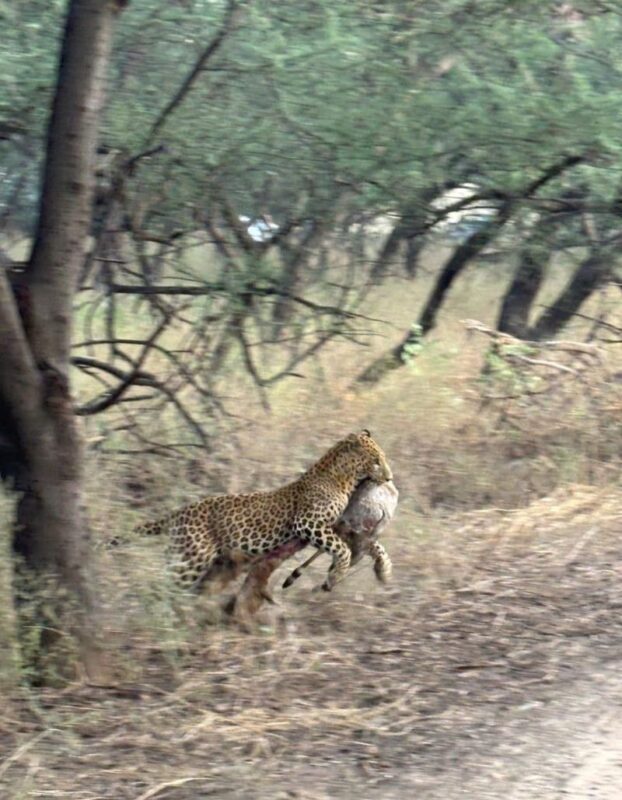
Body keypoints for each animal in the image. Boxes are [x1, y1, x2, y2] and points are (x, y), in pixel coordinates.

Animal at [135, 430, 393, 592]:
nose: (390, 478)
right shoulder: (308, 523)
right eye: (376, 461)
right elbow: (343, 550)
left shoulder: (339, 525)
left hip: (189, 557)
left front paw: (385, 572)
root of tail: (177, 514)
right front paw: (336, 575)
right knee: (165, 589)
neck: (343, 479)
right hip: (192, 559)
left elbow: (376, 546)